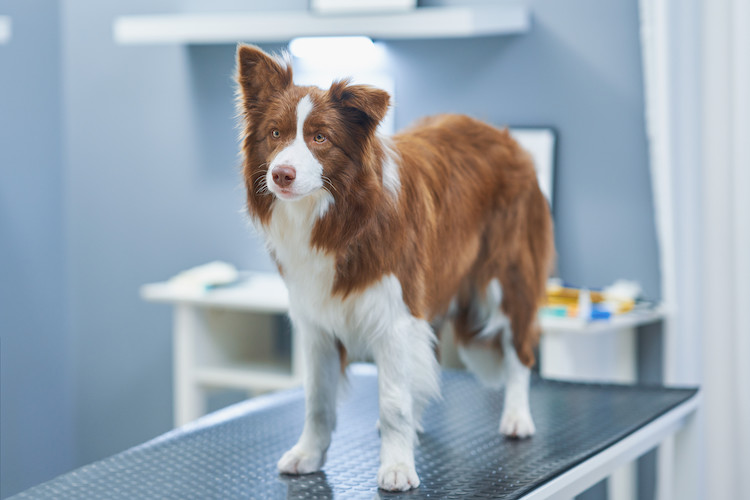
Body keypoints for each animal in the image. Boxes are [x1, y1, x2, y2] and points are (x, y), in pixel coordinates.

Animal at [238, 45, 556, 490]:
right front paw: (308, 455)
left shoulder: (393, 315)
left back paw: (516, 417)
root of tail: (507, 138)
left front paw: (397, 467)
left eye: (320, 138)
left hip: (505, 279)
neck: (337, 219)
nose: (282, 174)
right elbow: (317, 400)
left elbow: (392, 402)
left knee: (519, 351)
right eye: (274, 134)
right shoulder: (316, 322)